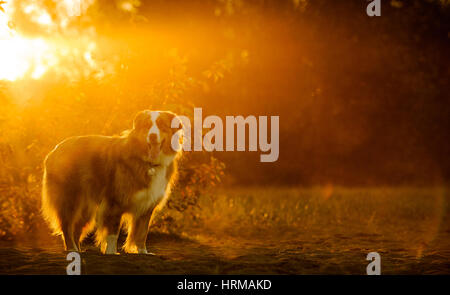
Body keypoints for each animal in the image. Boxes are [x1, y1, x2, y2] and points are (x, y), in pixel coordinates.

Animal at [41, 111, 184, 254]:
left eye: (162, 125)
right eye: (147, 125)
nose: (153, 136)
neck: (148, 162)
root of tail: (53, 150)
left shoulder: (147, 205)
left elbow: (142, 233)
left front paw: (143, 252)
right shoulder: (115, 202)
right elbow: (113, 232)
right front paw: (111, 252)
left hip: (86, 207)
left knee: (76, 228)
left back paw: (78, 251)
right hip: (70, 199)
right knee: (66, 226)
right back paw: (72, 249)